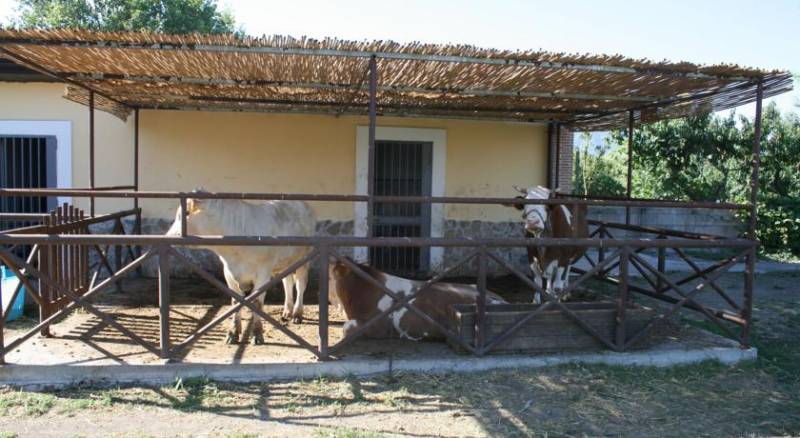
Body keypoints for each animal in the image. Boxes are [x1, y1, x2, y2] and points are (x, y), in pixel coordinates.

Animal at [166, 196, 316, 346]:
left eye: (185, 213)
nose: (168, 236)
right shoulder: (228, 273)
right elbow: (236, 302)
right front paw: (233, 333)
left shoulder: (263, 273)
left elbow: (257, 303)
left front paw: (257, 334)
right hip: (286, 263)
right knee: (288, 283)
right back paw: (287, 311)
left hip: (304, 259)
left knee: (300, 285)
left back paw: (297, 314)